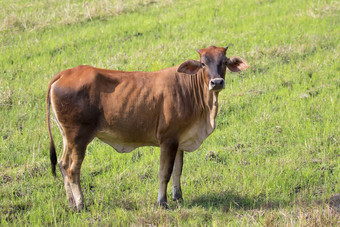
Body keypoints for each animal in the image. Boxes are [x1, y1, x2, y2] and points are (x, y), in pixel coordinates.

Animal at [46, 45, 248, 210]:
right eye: (203, 63)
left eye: (224, 62)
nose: (217, 82)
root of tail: (64, 73)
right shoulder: (168, 139)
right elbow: (165, 172)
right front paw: (162, 202)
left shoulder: (180, 139)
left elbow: (178, 170)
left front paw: (178, 197)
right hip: (79, 137)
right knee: (72, 169)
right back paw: (81, 204)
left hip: (67, 137)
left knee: (63, 164)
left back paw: (71, 203)